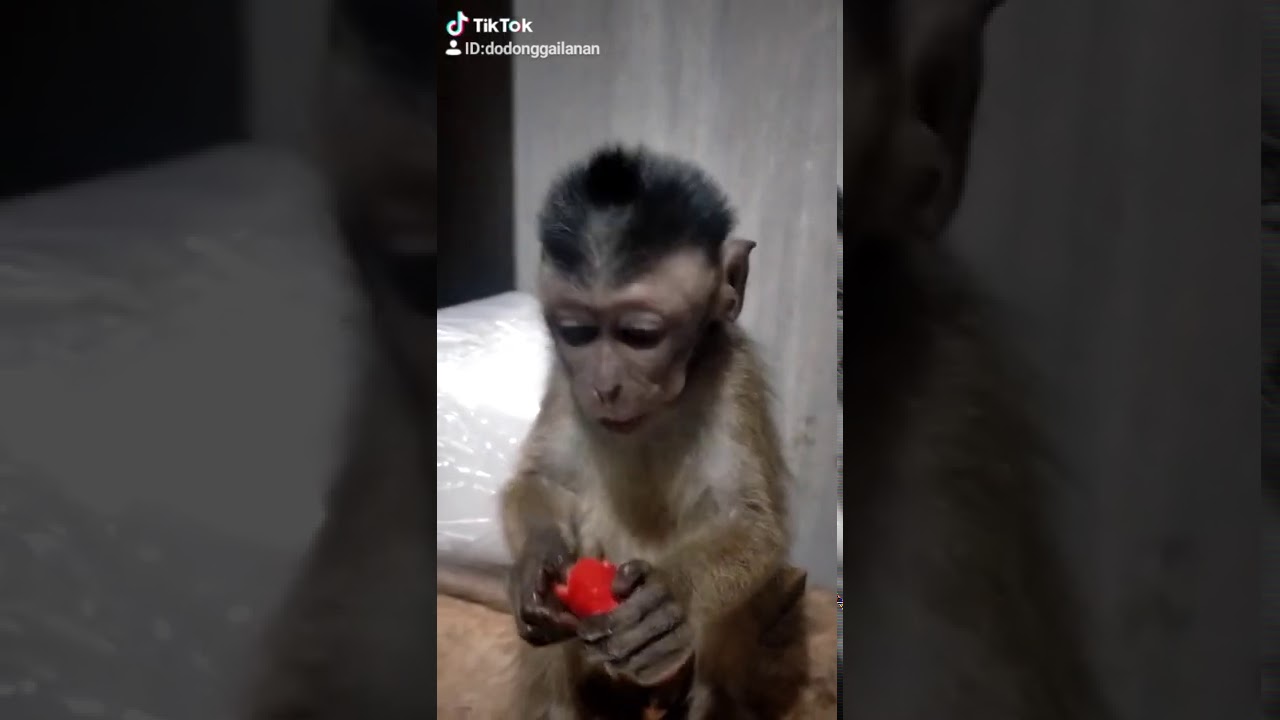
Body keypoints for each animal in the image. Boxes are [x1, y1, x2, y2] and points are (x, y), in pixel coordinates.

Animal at [496, 145, 816, 720]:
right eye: (576, 332)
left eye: (640, 335)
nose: (603, 386)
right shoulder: (566, 380)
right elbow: (544, 482)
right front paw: (536, 563)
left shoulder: (734, 375)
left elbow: (751, 523)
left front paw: (669, 596)